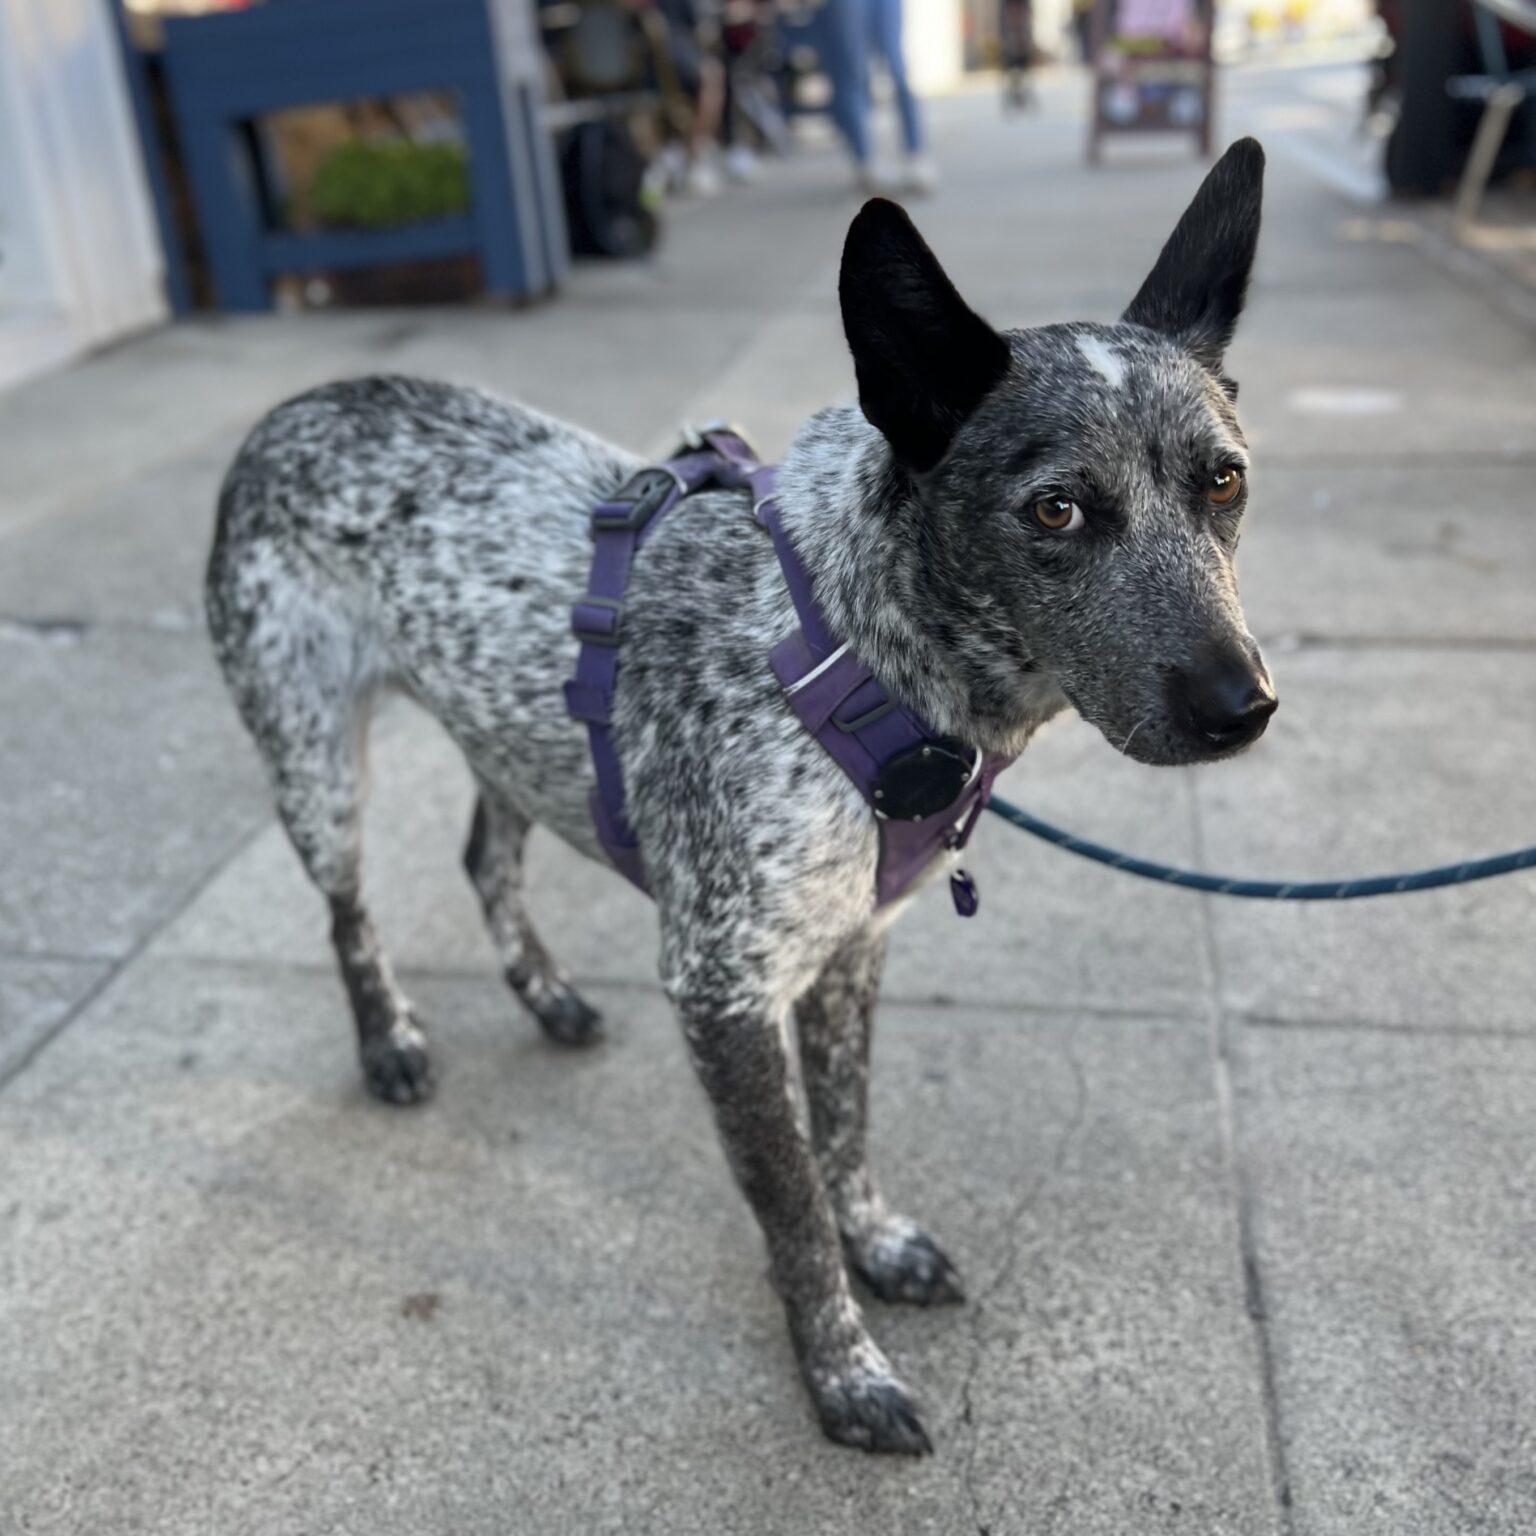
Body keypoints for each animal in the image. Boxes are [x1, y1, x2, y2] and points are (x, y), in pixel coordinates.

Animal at [210, 138, 1277, 1456]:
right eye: (1057, 507)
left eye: (1224, 482)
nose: (1244, 706)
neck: (855, 647)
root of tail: (293, 405)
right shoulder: (722, 993)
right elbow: (795, 1208)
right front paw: (844, 1372)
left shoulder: (851, 952)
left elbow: (847, 1133)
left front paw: (880, 1245)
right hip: (314, 761)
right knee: (349, 912)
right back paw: (391, 1041)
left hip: (506, 731)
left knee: (484, 857)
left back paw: (544, 994)